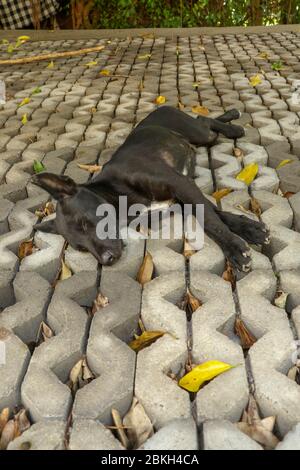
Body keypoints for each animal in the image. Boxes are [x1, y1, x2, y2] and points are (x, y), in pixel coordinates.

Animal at [31, 104, 270, 270]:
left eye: (83, 223)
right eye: (80, 248)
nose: (107, 261)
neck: (115, 192)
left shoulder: (181, 184)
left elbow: (210, 220)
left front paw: (235, 247)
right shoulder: (178, 199)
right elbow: (212, 212)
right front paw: (251, 229)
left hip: (201, 134)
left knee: (203, 120)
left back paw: (233, 124)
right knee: (203, 119)